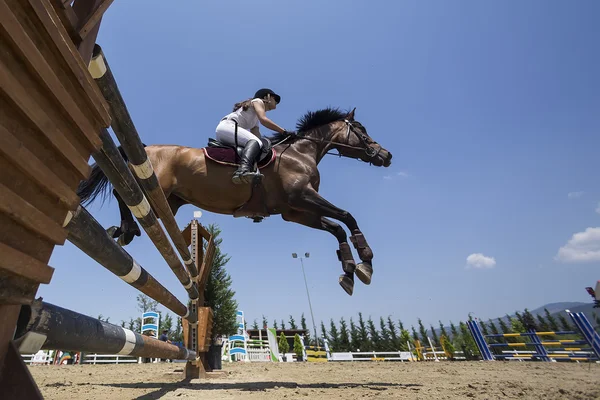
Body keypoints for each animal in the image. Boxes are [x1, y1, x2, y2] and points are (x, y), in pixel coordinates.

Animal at [76, 106, 394, 294]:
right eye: (362, 130)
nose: (386, 155)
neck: (301, 152)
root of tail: (146, 147)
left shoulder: (295, 211)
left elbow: (337, 228)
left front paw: (350, 272)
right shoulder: (303, 196)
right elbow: (347, 216)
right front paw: (366, 261)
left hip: (171, 201)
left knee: (131, 200)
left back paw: (123, 229)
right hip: (156, 188)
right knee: (123, 193)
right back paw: (126, 229)